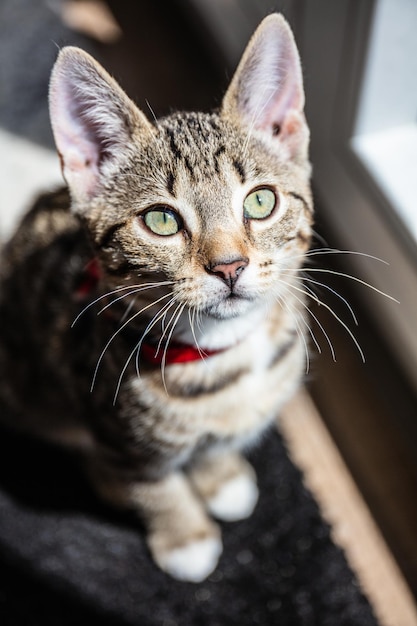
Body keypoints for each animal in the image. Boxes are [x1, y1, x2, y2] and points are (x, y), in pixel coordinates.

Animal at [0, 13, 312, 580]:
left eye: (261, 201)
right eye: (161, 220)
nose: (229, 265)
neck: (222, 355)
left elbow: (212, 447)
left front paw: (219, 475)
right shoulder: (113, 427)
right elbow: (153, 485)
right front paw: (183, 534)